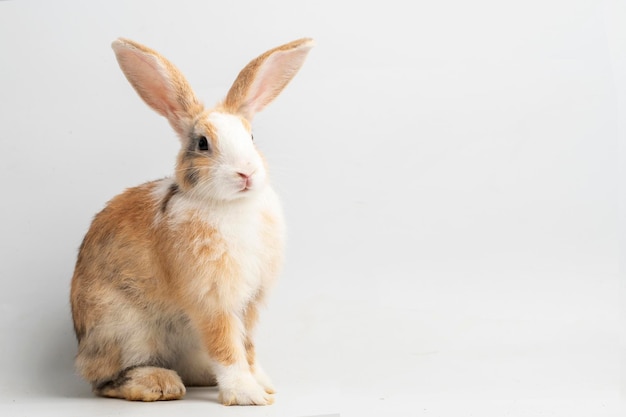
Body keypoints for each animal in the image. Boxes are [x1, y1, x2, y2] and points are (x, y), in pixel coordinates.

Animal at [69, 37, 312, 404]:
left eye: (251, 138)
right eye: (202, 143)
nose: (246, 173)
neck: (232, 205)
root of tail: (82, 347)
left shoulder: (250, 303)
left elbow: (247, 347)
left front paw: (263, 384)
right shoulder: (211, 299)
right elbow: (226, 347)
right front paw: (247, 395)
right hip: (123, 329)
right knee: (105, 381)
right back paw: (159, 383)